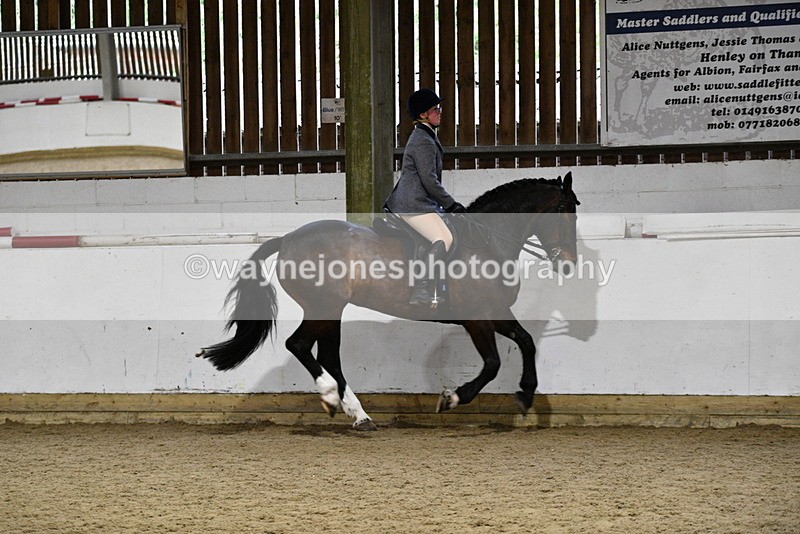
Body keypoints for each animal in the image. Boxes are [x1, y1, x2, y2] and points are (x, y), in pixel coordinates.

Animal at [197, 173, 580, 430]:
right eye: (564, 210)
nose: (568, 264)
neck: (487, 243)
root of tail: (288, 238)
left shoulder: (496, 312)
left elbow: (527, 342)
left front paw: (526, 395)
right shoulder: (477, 319)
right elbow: (492, 364)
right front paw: (452, 398)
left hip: (331, 311)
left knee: (329, 357)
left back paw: (359, 415)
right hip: (323, 307)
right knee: (300, 346)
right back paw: (332, 397)